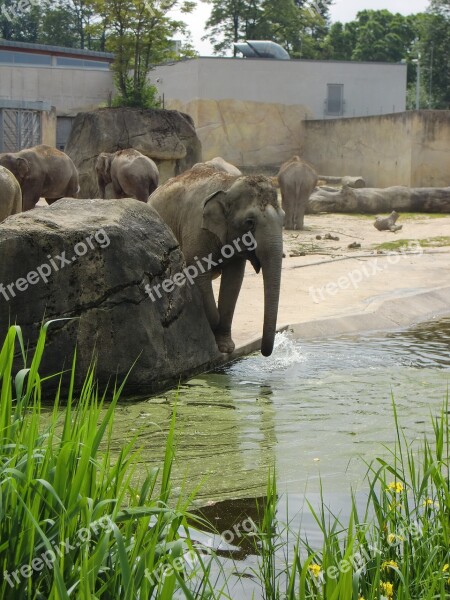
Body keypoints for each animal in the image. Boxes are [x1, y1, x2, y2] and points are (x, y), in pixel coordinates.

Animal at [149, 165, 284, 356]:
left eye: (283, 219)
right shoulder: (196, 231)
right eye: (249, 222)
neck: (228, 184)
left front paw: (226, 347)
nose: (264, 353)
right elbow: (198, 274)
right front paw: (214, 327)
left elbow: (234, 280)